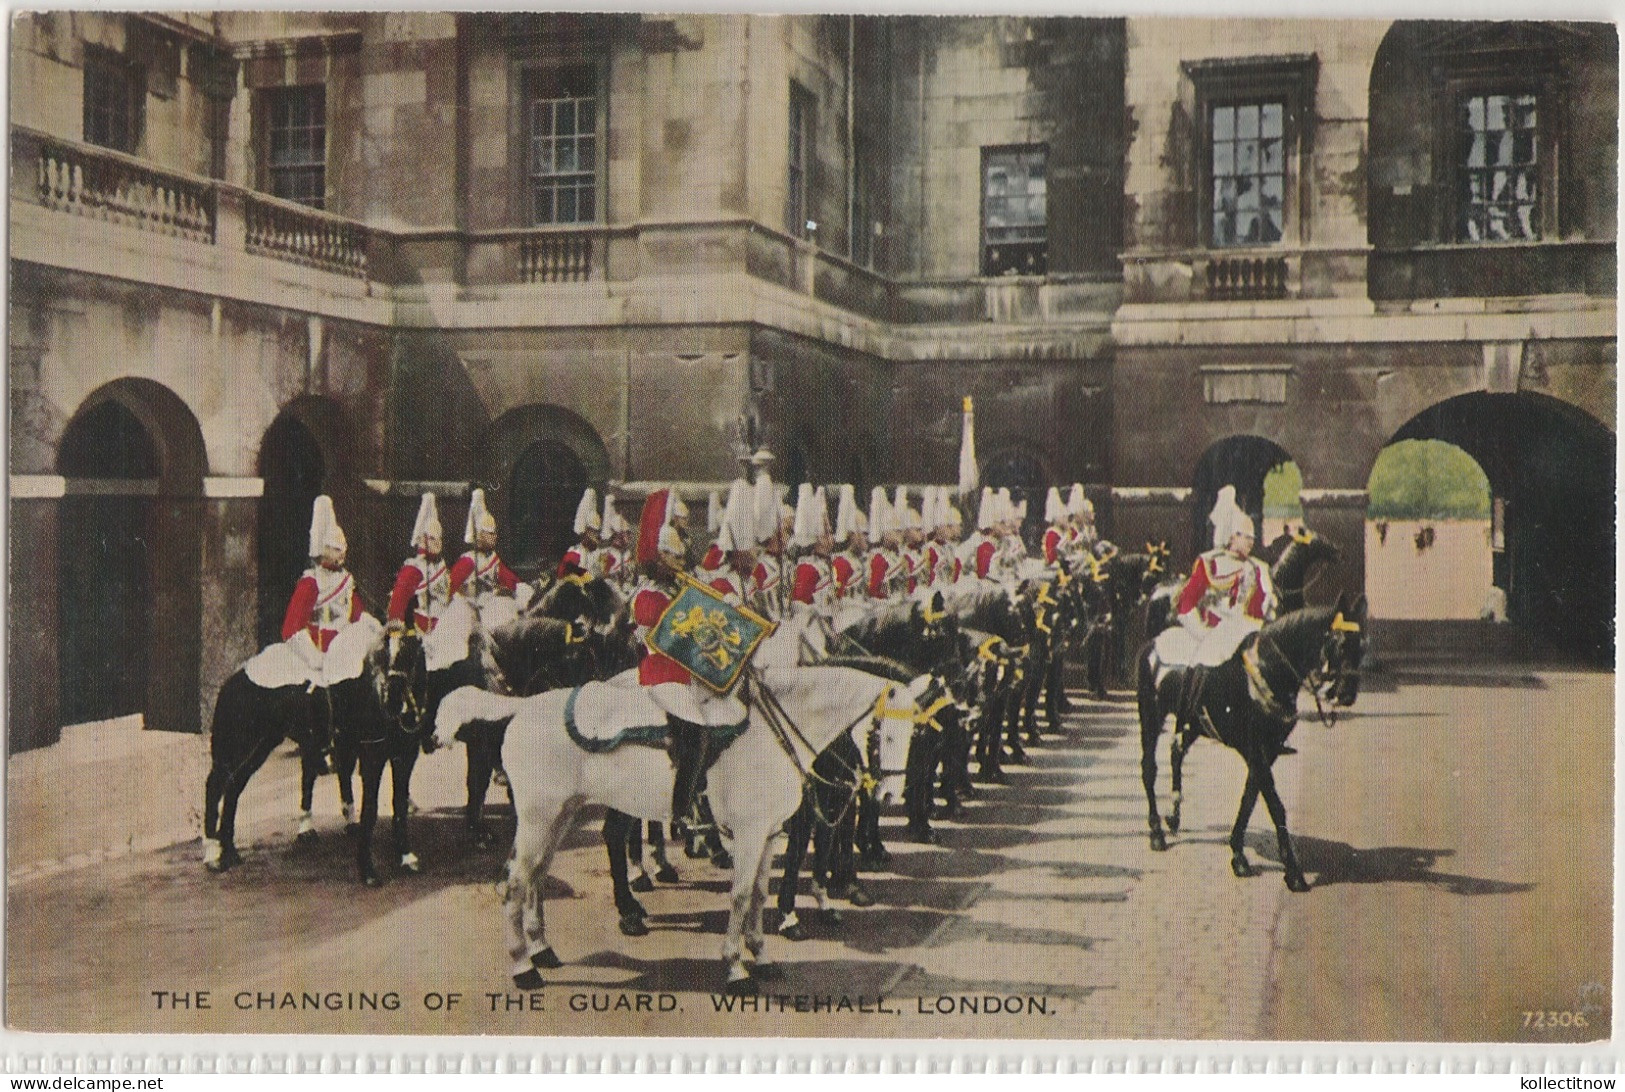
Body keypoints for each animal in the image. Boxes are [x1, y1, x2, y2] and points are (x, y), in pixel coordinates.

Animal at [438, 659, 936, 994]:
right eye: (882, 733)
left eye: (915, 734)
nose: (888, 796)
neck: (774, 733)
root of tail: (522, 706)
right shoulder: (750, 835)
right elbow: (740, 897)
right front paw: (735, 969)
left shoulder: (769, 834)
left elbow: (759, 896)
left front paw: (762, 957)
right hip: (539, 817)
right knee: (515, 884)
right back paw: (524, 968)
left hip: (561, 814)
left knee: (536, 878)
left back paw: (542, 949)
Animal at [1137, 591, 1365, 890]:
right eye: (1338, 644)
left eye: (1361, 646)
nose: (1347, 694)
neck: (1267, 670)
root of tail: (1153, 643)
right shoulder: (1255, 750)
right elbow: (1274, 805)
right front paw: (1293, 871)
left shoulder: (1268, 751)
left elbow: (1250, 798)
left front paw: (1238, 853)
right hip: (1151, 717)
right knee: (1149, 769)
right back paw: (1156, 832)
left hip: (1193, 724)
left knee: (1176, 753)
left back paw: (1173, 817)